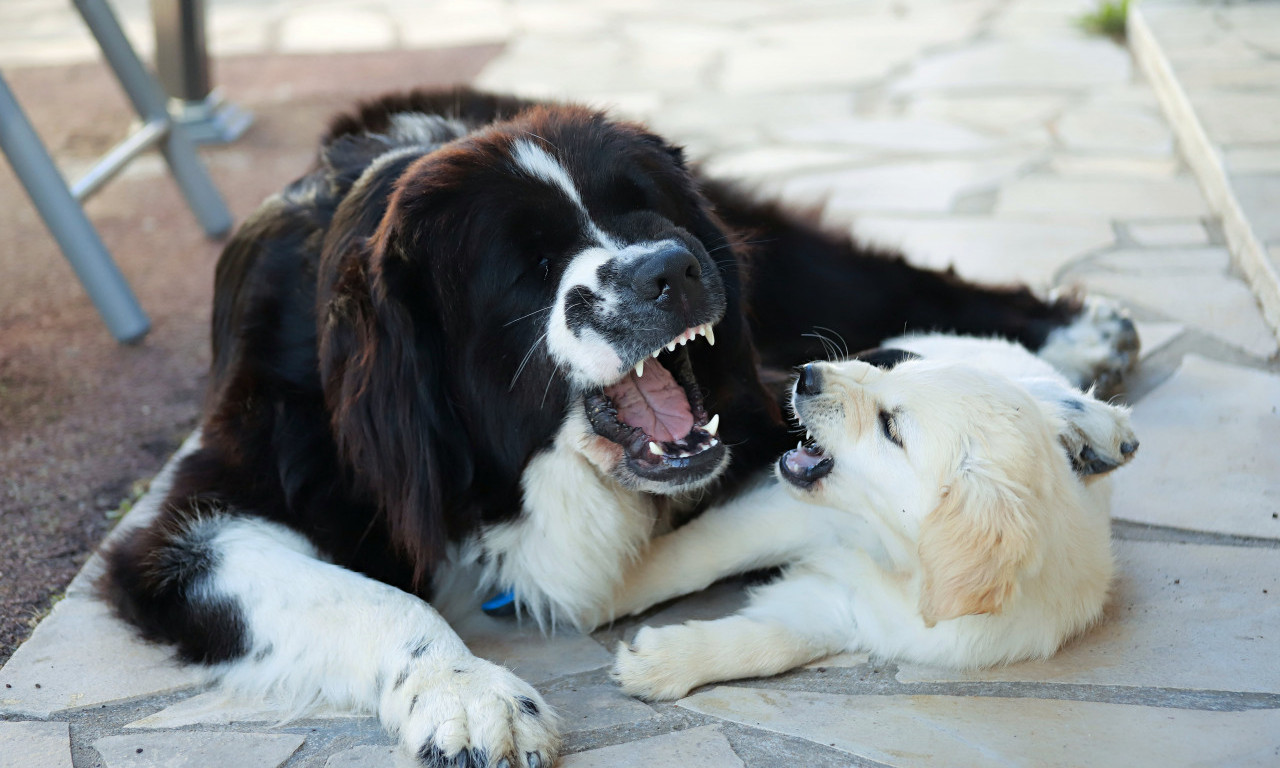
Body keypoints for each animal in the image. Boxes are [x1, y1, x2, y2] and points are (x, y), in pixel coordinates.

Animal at [611, 332, 1141, 701]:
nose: (807, 375)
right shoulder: (792, 515)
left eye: (891, 428)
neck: (890, 549)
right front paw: (609, 590)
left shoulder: (861, 614)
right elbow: (697, 555)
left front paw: (661, 661)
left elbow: (772, 640)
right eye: (895, 370)